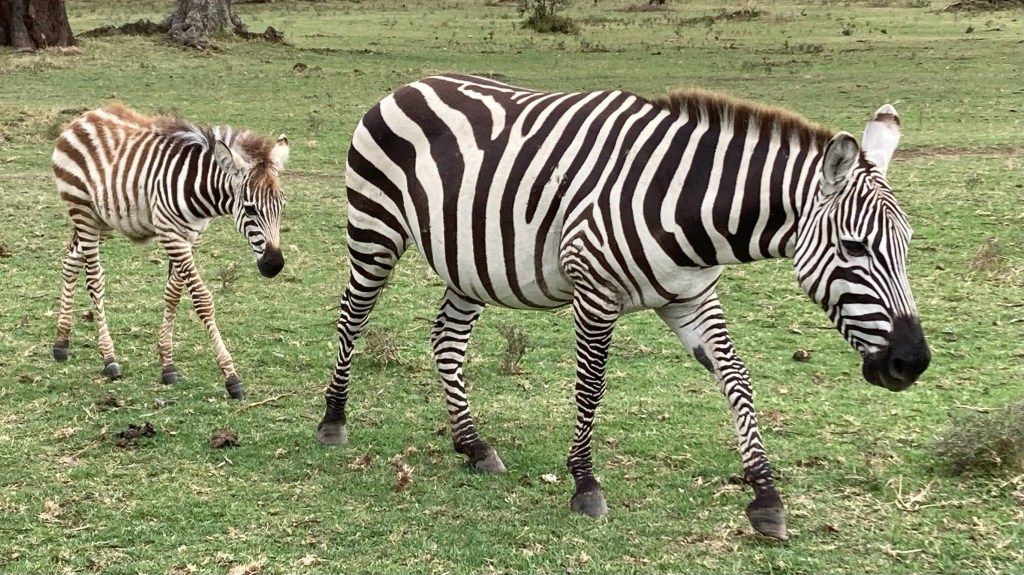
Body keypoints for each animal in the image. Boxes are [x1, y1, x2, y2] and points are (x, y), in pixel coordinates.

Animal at [51, 104, 290, 400]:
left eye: (282, 206)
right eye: (250, 208)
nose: (274, 265)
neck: (199, 190)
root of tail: (84, 117)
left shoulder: (191, 236)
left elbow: (173, 294)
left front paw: (167, 364)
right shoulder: (171, 235)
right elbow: (202, 300)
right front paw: (231, 376)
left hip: (102, 219)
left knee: (71, 260)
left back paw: (61, 342)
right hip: (82, 210)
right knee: (94, 278)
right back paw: (109, 358)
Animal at [316, 74, 931, 539]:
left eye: (906, 245)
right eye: (854, 248)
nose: (913, 363)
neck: (691, 209)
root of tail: (409, 85)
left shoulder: (691, 297)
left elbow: (737, 377)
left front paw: (765, 496)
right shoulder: (595, 291)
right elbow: (591, 387)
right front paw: (586, 484)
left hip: (469, 260)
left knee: (446, 337)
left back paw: (473, 445)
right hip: (373, 230)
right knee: (353, 316)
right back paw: (333, 420)